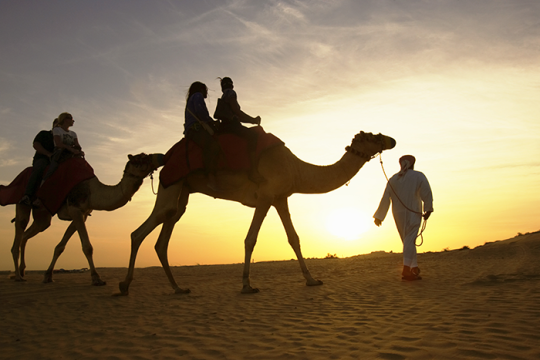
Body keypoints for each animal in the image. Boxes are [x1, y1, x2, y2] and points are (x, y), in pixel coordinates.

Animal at [10, 153, 162, 286]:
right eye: (141, 157)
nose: (160, 156)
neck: (92, 191)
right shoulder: (75, 208)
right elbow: (87, 247)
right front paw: (96, 279)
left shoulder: (82, 214)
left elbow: (60, 247)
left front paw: (48, 276)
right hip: (22, 201)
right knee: (20, 226)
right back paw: (17, 276)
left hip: (43, 215)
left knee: (28, 233)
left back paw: (22, 271)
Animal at [119, 132, 396, 296]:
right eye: (373, 136)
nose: (392, 140)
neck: (296, 168)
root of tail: (166, 158)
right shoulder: (265, 196)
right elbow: (250, 238)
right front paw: (246, 284)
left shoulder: (281, 198)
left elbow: (294, 238)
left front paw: (312, 280)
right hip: (172, 184)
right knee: (140, 231)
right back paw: (124, 285)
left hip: (183, 191)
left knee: (163, 235)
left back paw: (177, 287)